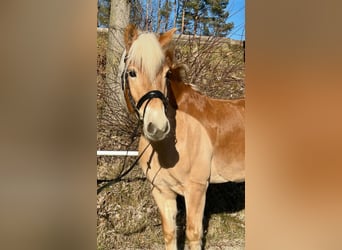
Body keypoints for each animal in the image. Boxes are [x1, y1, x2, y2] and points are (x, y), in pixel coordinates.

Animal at [119, 24, 244, 250]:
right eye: (132, 73)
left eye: (166, 74)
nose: (158, 126)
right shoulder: (161, 191)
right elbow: (170, 234)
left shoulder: (196, 190)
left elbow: (193, 235)